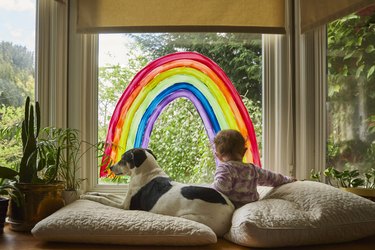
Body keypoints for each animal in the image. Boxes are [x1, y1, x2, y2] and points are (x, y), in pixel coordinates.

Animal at [83, 148, 234, 236]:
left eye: (123, 159)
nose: (111, 167)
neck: (146, 172)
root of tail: (230, 209)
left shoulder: (125, 206)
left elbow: (104, 199)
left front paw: (88, 196)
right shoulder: (125, 199)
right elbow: (108, 194)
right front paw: (88, 194)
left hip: (190, 217)